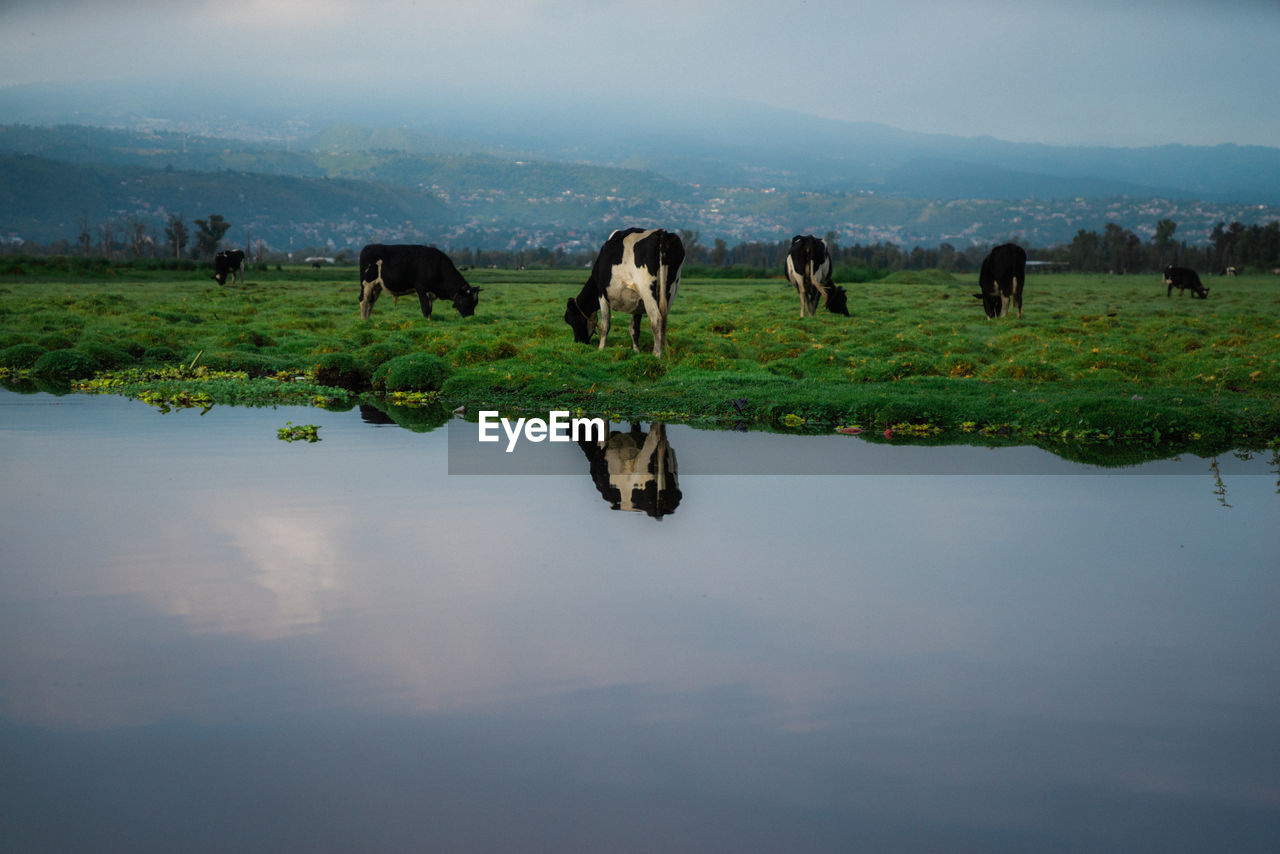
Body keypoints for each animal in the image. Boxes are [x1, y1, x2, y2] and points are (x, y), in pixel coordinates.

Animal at [565, 226, 686, 358]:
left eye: (570, 320)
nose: (578, 342)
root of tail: (661, 233)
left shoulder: (602, 294)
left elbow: (605, 325)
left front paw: (601, 349)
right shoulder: (639, 302)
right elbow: (634, 329)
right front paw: (636, 351)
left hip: (647, 290)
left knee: (657, 319)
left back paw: (657, 354)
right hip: (671, 289)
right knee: (663, 320)